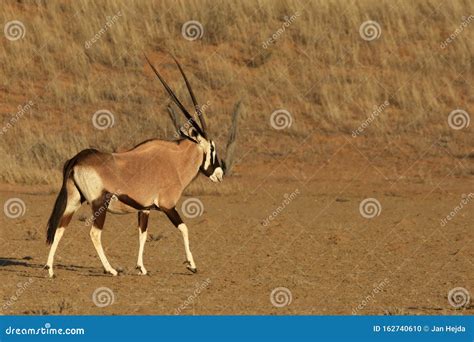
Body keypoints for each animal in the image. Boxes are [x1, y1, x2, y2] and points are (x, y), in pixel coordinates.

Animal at [45, 55, 239, 278]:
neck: (175, 161)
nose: (220, 174)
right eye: (213, 148)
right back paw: (110, 269)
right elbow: (184, 228)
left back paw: (50, 269)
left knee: (60, 228)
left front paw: (141, 268)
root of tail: (77, 158)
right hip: (98, 203)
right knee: (94, 233)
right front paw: (192, 265)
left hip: (74, 200)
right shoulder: (167, 205)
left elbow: (142, 235)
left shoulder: (144, 209)